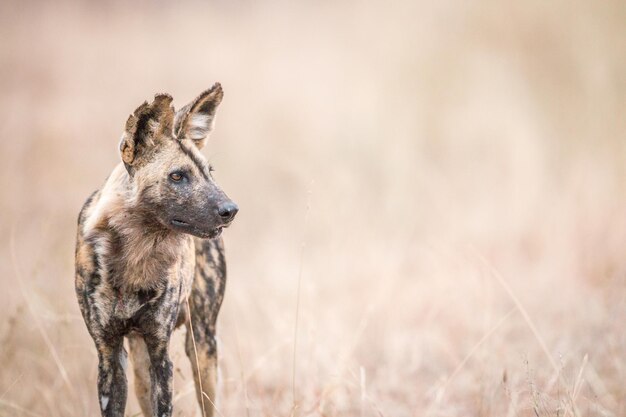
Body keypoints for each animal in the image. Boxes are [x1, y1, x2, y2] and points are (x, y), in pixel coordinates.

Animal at [75, 83, 236, 414]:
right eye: (177, 175)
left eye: (209, 172)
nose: (231, 210)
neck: (135, 254)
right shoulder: (109, 355)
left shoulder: (161, 354)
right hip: (138, 365)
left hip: (203, 348)